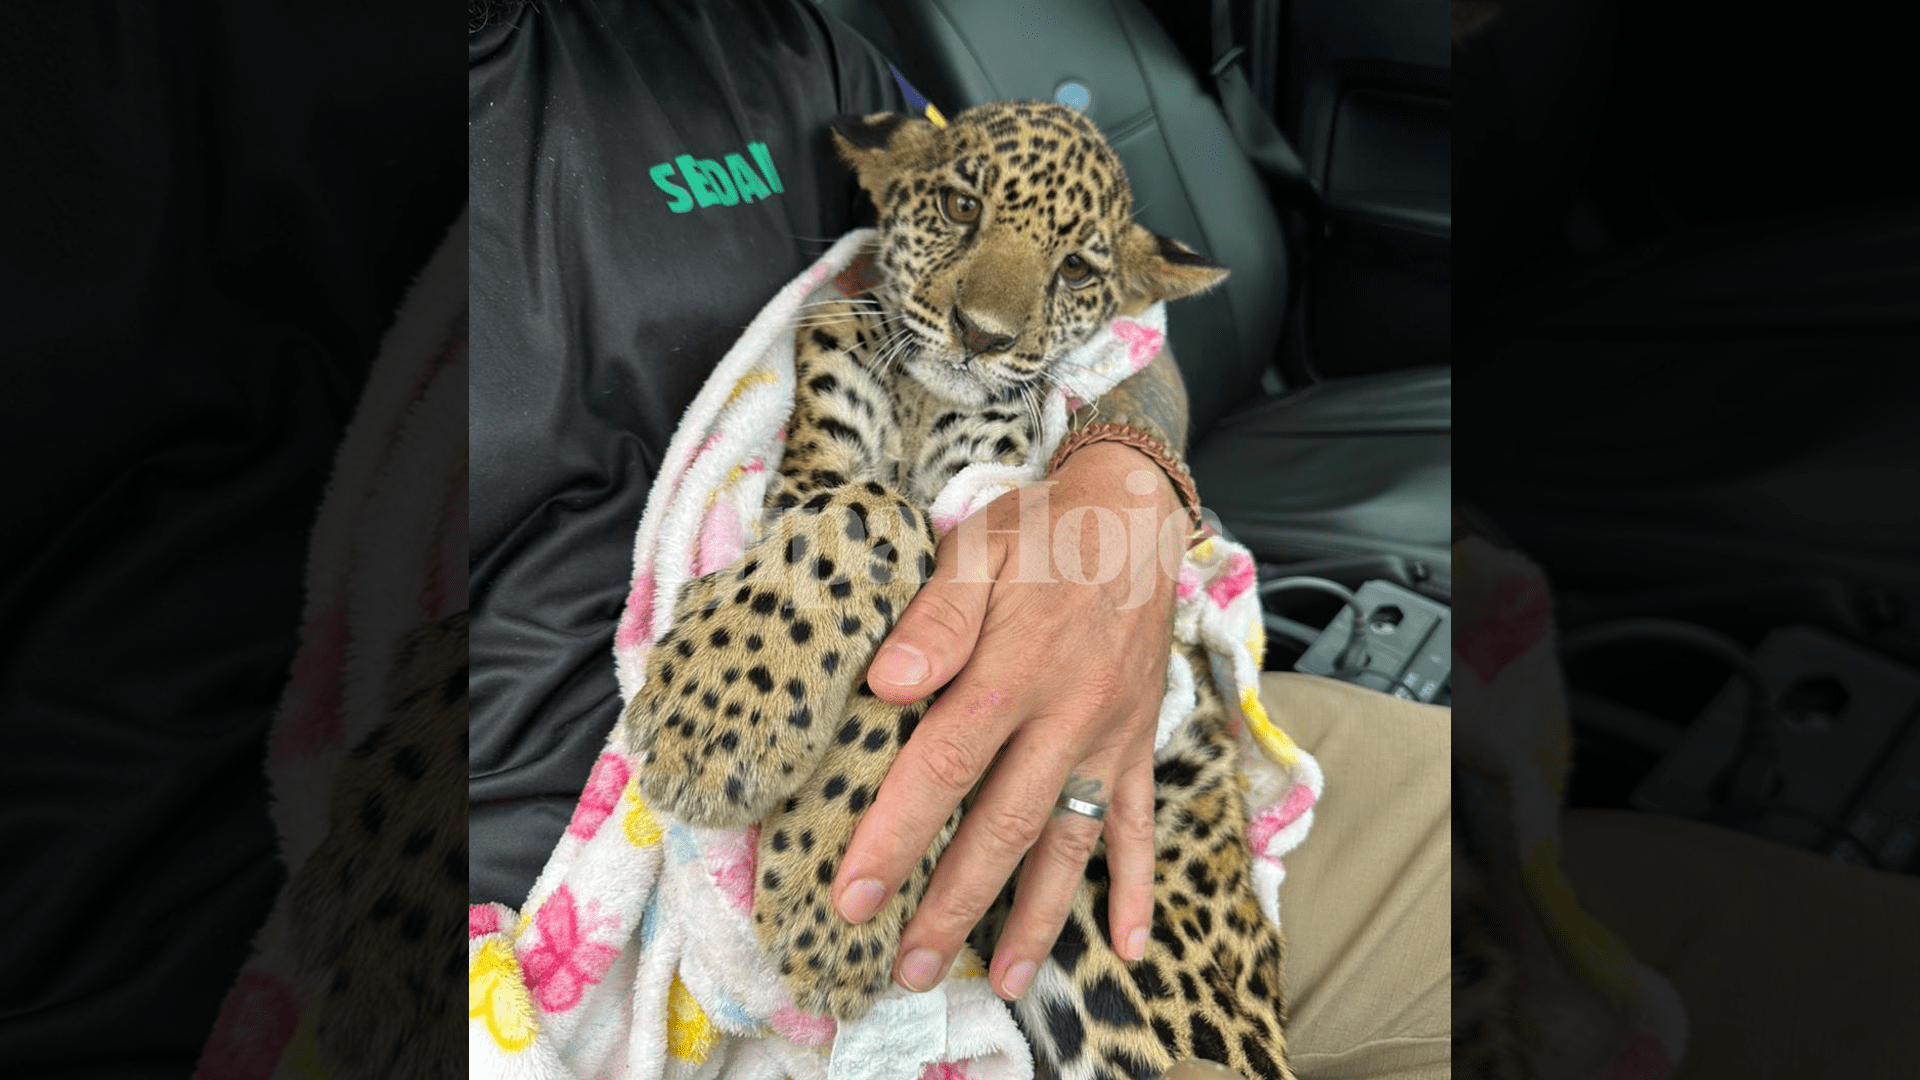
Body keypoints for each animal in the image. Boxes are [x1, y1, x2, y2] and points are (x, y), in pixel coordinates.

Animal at [622, 101, 1297, 1080]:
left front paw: (835, 893)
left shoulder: (987, 492)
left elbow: (923, 621)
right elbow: (865, 508)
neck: (915, 406)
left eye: (1076, 268)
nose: (983, 335)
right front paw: (715, 719)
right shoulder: (812, 462)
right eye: (958, 204)